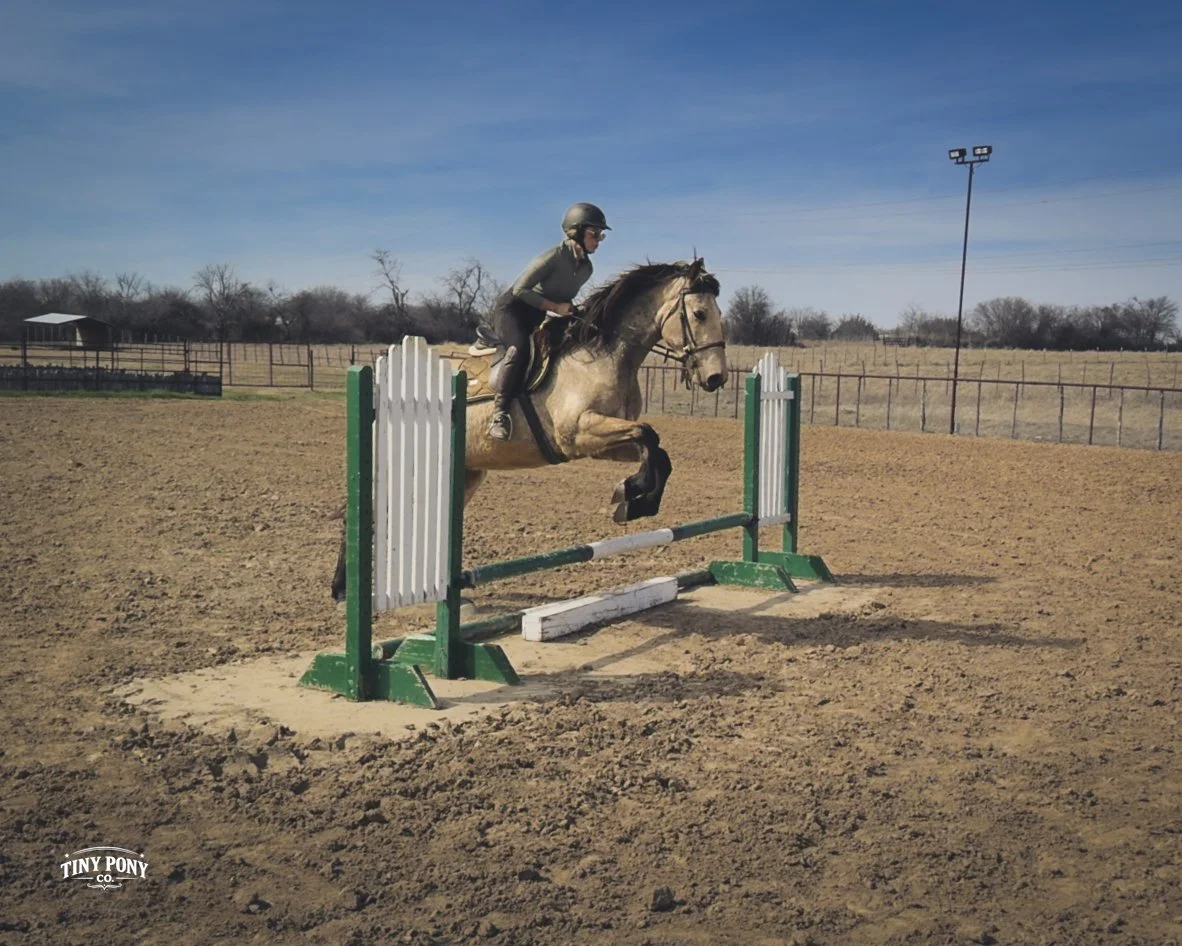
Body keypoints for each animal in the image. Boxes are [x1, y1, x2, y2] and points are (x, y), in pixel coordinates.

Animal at [331, 257, 728, 601]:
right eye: (699, 313)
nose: (716, 378)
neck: (602, 356)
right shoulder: (578, 433)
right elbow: (648, 434)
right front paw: (629, 497)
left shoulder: (604, 444)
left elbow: (655, 447)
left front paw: (636, 498)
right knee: (362, 517)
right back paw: (342, 589)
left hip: (465, 473)